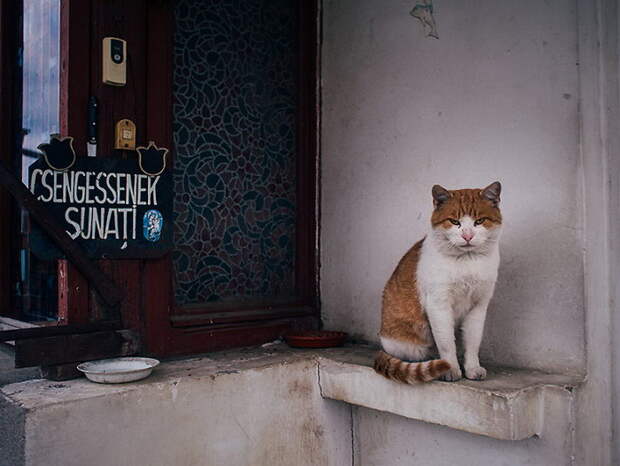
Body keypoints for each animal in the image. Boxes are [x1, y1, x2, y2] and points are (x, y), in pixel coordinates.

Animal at [372, 181, 504, 382]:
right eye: (455, 222)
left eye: (479, 221)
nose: (467, 235)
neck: (467, 261)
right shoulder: (438, 304)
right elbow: (446, 343)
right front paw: (450, 369)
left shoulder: (478, 307)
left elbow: (473, 342)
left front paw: (472, 368)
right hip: (411, 346)